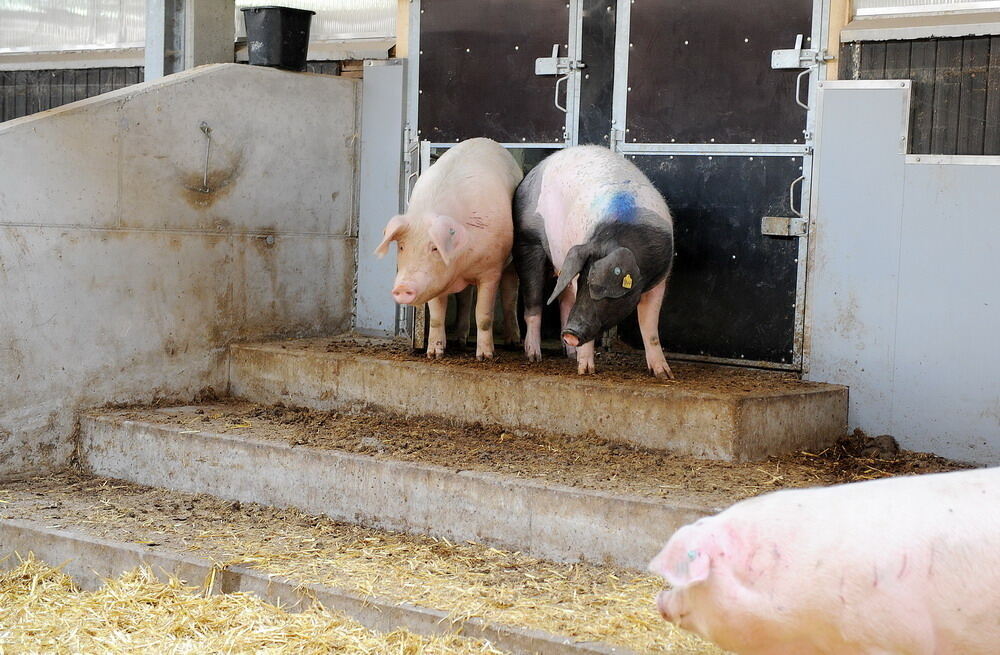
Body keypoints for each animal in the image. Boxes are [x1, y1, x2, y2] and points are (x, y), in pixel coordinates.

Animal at [376, 139, 524, 362]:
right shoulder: (435, 280)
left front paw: (484, 357)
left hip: (511, 263)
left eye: (435, 248)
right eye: (401, 246)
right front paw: (434, 354)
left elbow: (483, 314)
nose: (402, 287)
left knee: (510, 296)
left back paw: (513, 343)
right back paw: (460, 341)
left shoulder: (491, 269)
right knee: (465, 299)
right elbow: (437, 316)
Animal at [516, 146, 672, 376]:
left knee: (564, 299)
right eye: (584, 281)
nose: (570, 333)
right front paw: (585, 371)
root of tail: (533, 171)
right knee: (533, 304)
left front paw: (664, 374)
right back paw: (534, 356)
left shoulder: (659, 281)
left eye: (600, 290)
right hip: (528, 240)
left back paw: (570, 354)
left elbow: (650, 328)